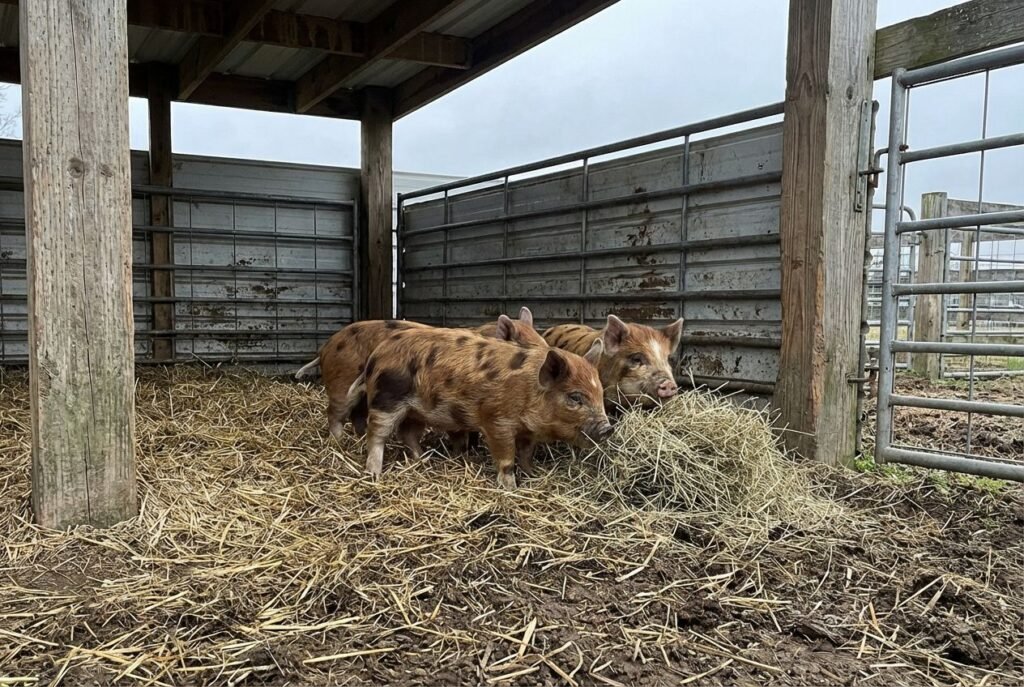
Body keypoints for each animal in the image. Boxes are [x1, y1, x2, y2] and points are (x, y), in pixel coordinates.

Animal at [342, 328, 611, 489]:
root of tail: (377, 353)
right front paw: (510, 488)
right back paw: (374, 474)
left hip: (414, 410)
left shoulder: (527, 432)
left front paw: (532, 473)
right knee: (376, 434)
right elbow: (506, 458)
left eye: (600, 394)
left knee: (407, 433)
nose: (608, 428)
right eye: (575, 397)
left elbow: (526, 453)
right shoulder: (497, 421)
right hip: (386, 398)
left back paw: (424, 460)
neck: (528, 391)